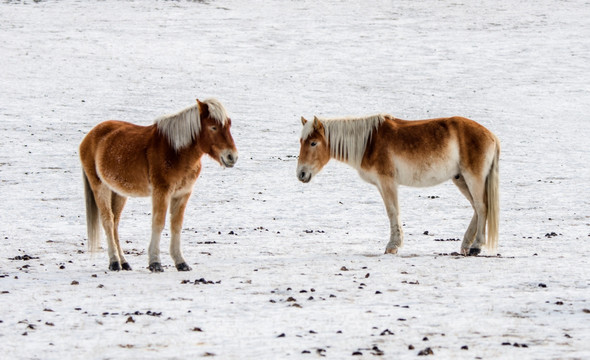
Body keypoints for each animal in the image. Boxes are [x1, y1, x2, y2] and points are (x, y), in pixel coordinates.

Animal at [80, 98, 238, 272]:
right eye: (213, 127)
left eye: (229, 126)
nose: (232, 156)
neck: (176, 151)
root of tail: (90, 136)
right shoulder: (161, 192)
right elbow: (158, 223)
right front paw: (155, 262)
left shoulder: (183, 194)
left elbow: (176, 226)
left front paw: (181, 262)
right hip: (100, 187)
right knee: (107, 221)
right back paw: (114, 262)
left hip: (119, 192)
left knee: (115, 223)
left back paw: (124, 262)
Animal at [300, 115, 500, 256]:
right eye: (301, 142)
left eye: (313, 143)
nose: (301, 174)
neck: (369, 143)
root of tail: (492, 136)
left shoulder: (387, 181)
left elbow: (393, 211)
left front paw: (392, 246)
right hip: (460, 179)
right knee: (476, 209)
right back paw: (466, 245)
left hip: (473, 178)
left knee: (482, 207)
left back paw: (476, 246)